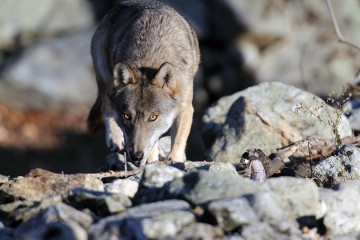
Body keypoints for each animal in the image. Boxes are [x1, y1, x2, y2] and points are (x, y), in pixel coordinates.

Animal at [87, 0, 200, 165]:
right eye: (127, 116)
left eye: (153, 117)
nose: (135, 156)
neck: (152, 57)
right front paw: (151, 160)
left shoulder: (186, 107)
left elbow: (178, 139)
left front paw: (175, 159)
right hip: (105, 79)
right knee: (106, 107)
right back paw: (115, 139)